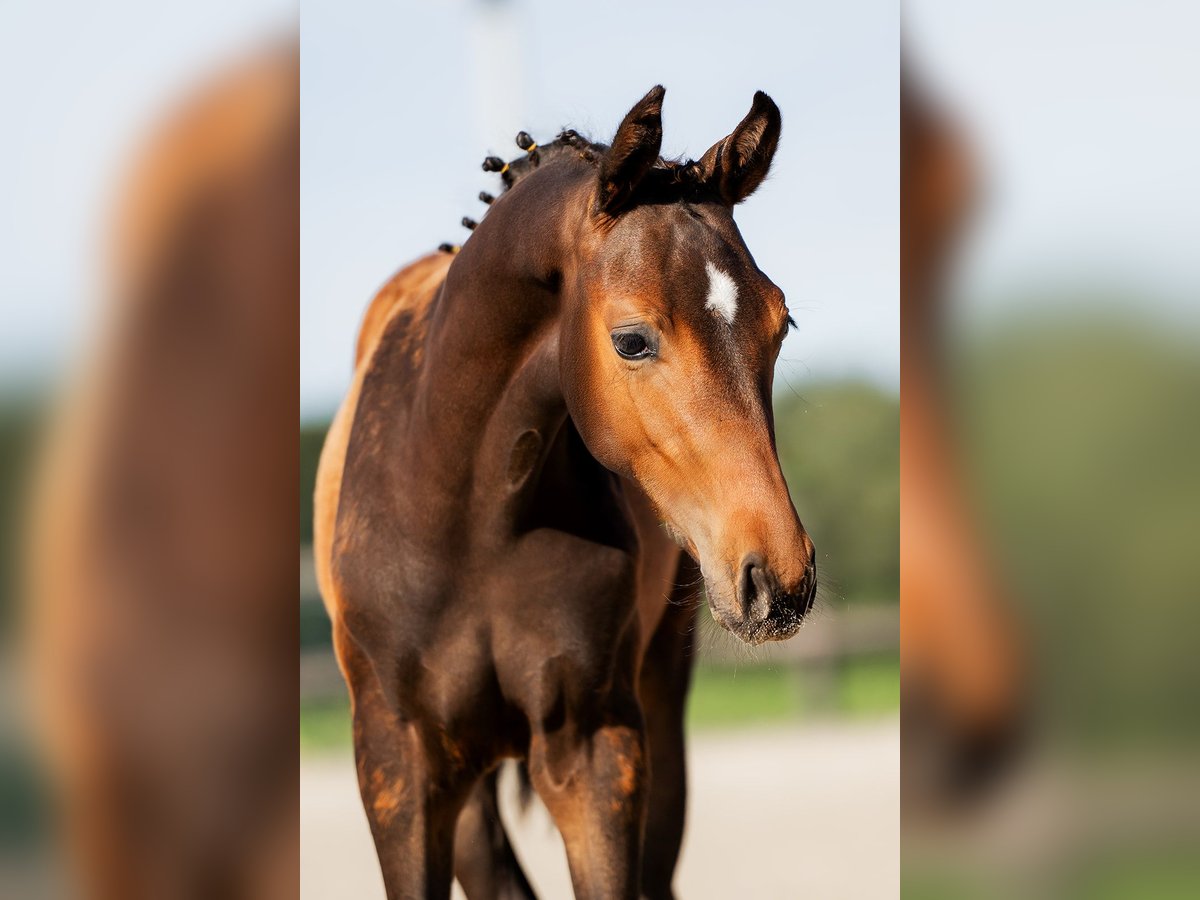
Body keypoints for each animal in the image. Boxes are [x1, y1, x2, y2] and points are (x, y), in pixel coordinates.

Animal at [314, 85, 817, 899]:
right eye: (633, 339)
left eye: (782, 323)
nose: (780, 578)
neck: (466, 517)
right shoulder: (397, 765)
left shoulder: (595, 751)